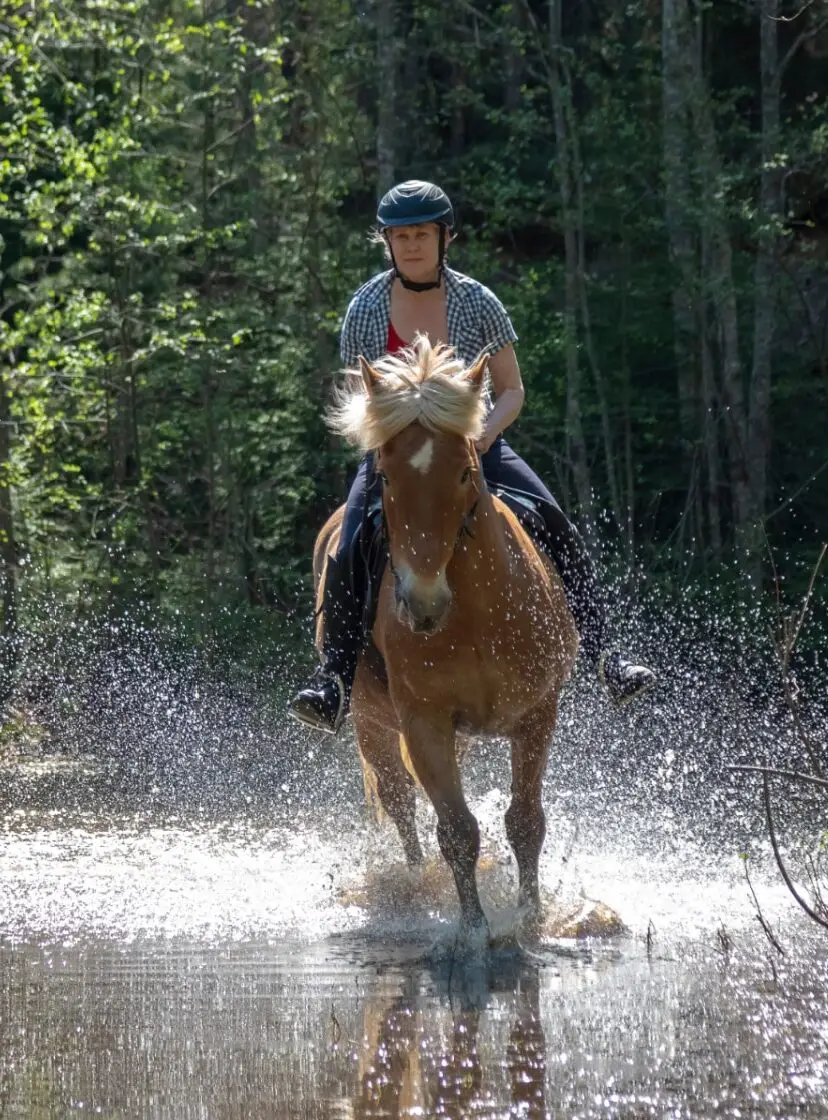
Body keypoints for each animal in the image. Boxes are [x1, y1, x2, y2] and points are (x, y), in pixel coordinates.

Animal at [314, 335, 578, 943]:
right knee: (402, 805)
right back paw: (415, 886)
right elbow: (456, 829)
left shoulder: (538, 713)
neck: (477, 614)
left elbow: (525, 821)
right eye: (386, 477)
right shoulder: (424, 723)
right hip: (372, 724)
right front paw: (474, 930)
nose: (423, 602)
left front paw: (531, 916)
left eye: (463, 473)